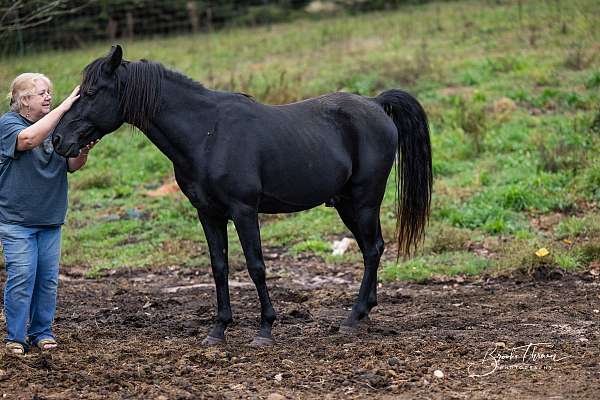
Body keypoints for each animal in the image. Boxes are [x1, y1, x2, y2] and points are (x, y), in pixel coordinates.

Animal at [52, 44, 432, 346]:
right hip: (347, 204)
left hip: (363, 202)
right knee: (372, 249)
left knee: (373, 249)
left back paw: (353, 317)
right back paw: (362, 314)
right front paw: (218, 329)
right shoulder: (208, 213)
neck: (208, 133)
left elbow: (255, 266)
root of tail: (375, 104)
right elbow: (219, 266)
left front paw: (265, 329)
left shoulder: (244, 211)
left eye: (91, 92)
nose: (57, 140)